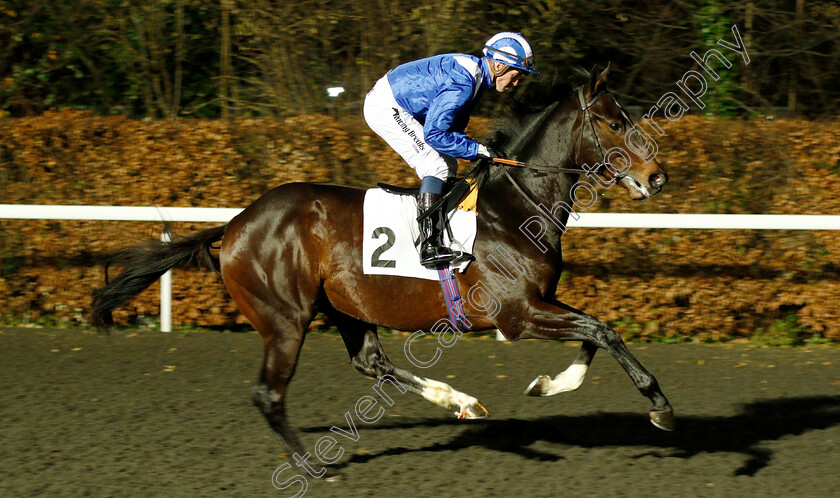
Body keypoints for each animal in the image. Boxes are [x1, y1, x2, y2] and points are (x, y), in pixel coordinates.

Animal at [88, 64, 672, 472]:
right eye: (615, 122)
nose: (658, 177)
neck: (514, 206)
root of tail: (235, 224)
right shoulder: (518, 313)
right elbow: (603, 330)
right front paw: (659, 404)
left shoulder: (537, 305)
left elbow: (595, 333)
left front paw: (548, 386)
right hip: (285, 319)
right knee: (270, 394)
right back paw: (313, 466)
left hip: (345, 306)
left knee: (373, 363)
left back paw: (461, 401)